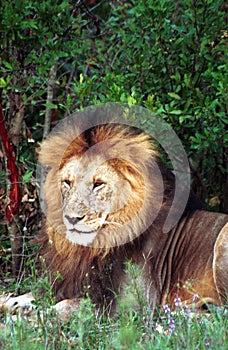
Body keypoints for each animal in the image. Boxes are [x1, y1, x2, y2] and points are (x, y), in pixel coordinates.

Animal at [0, 115, 227, 318]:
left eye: (98, 184)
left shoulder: (129, 303)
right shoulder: (70, 282)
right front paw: (12, 303)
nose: (72, 219)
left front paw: (21, 319)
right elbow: (29, 297)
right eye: (67, 182)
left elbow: (61, 309)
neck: (92, 249)